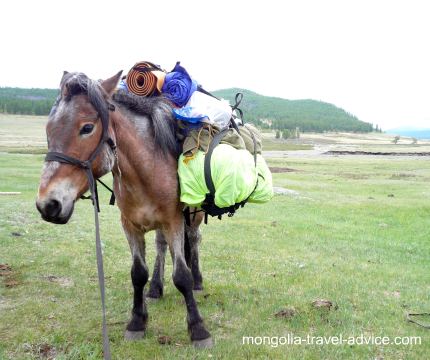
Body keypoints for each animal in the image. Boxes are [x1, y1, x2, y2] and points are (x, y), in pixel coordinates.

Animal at [36, 71, 214, 352]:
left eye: (87, 128)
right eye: (48, 129)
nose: (48, 205)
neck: (146, 171)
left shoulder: (174, 220)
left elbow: (182, 275)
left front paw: (198, 329)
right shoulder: (130, 225)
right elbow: (137, 274)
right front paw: (137, 322)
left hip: (193, 216)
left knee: (194, 241)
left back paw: (197, 281)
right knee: (161, 245)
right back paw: (156, 288)